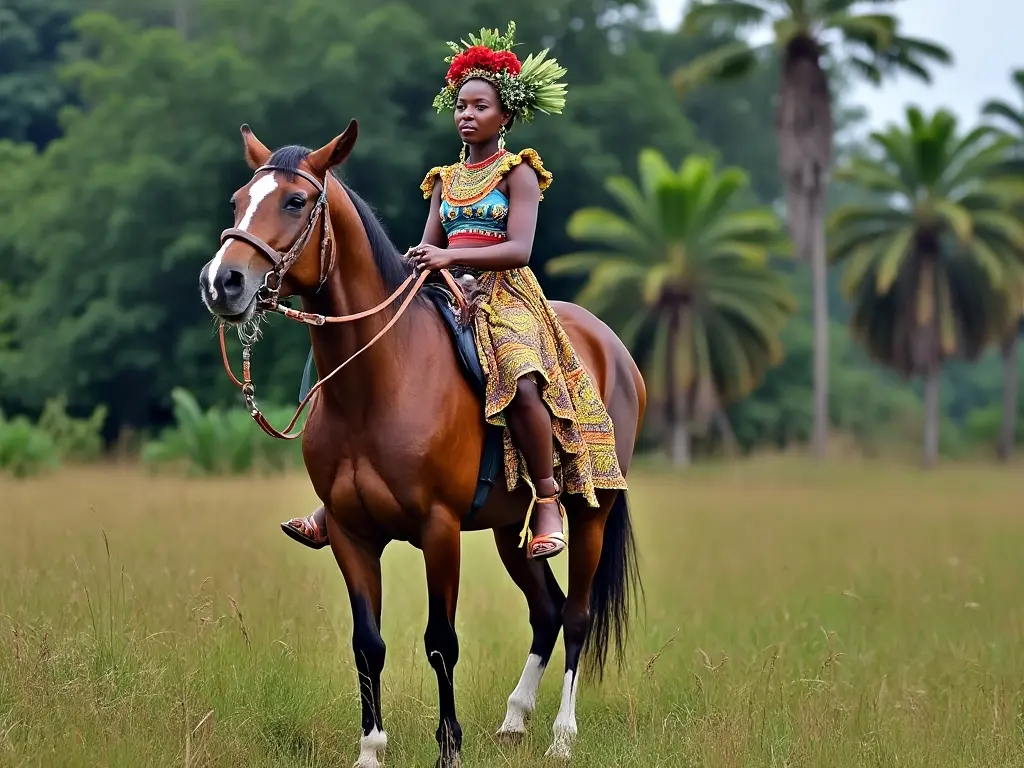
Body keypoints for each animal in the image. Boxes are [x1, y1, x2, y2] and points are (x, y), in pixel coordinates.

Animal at [197, 117, 647, 765]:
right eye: (238, 201)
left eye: (295, 201)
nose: (222, 282)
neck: (377, 381)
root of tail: (613, 348)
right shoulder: (351, 532)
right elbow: (368, 642)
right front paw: (370, 749)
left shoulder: (439, 529)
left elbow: (441, 641)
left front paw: (449, 748)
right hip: (511, 531)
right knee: (547, 611)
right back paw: (514, 720)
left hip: (593, 511)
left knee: (579, 614)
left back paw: (562, 736)